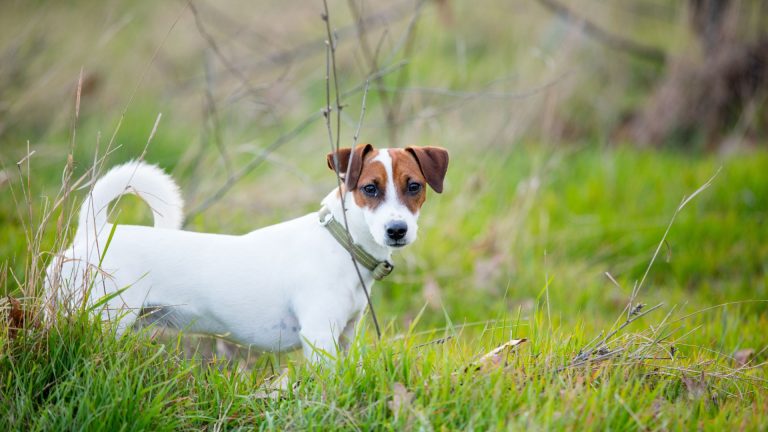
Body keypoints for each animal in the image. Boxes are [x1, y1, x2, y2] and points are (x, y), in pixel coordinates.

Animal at [45, 144, 448, 362]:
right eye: (369, 188)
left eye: (414, 186)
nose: (397, 230)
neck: (340, 243)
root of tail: (94, 233)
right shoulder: (319, 336)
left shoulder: (345, 336)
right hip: (98, 318)